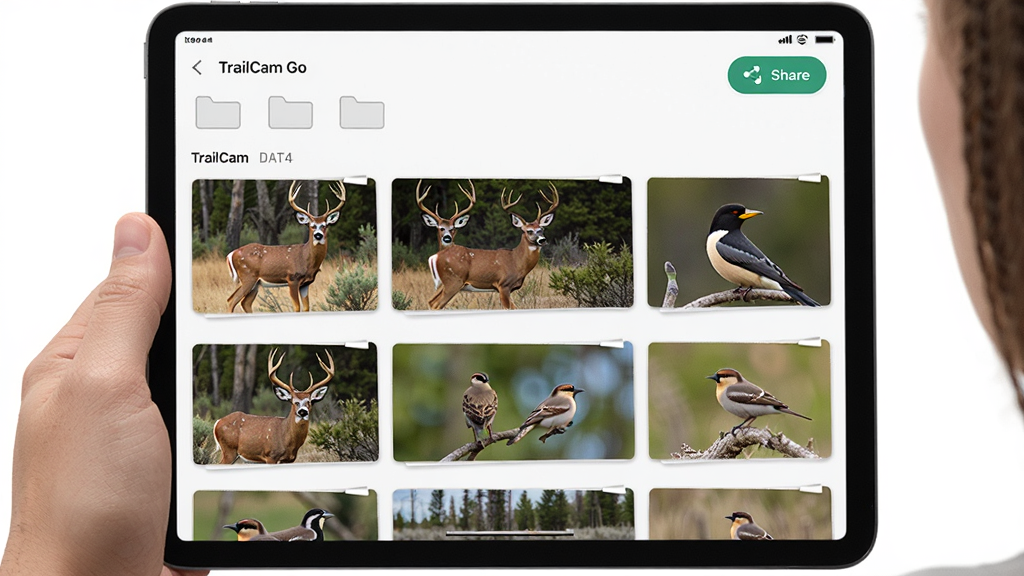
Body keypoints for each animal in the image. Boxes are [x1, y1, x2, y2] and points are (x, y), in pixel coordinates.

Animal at [225, 180, 346, 313]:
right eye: (311, 225)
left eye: (325, 225)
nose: (318, 235)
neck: (306, 259)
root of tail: (232, 254)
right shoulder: (292, 278)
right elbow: (297, 307)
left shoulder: (306, 283)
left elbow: (306, 308)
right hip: (248, 276)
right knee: (231, 300)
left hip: (255, 283)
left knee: (245, 303)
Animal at [426, 182, 559, 310]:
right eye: (529, 231)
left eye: (542, 229)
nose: (542, 240)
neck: (517, 262)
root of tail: (434, 256)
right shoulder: (503, 284)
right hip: (453, 281)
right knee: (436, 304)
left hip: (446, 283)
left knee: (431, 301)